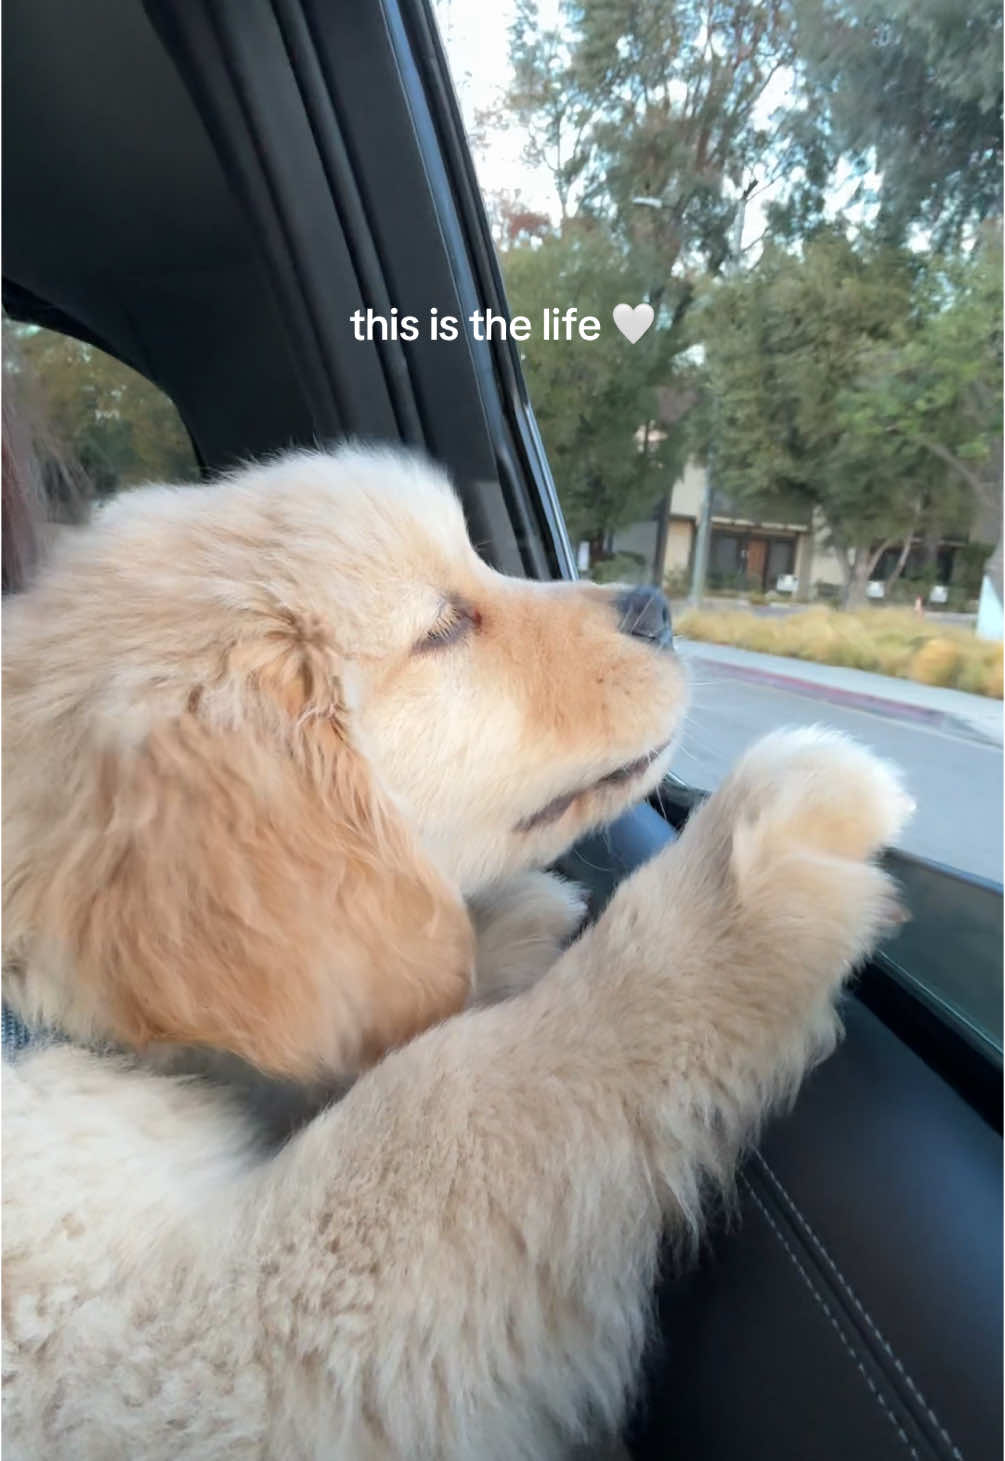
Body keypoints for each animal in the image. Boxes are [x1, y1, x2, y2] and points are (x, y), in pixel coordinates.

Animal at [1, 447, 911, 1461]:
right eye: (442, 628)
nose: (654, 606)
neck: (32, 1005)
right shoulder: (165, 1357)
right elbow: (455, 1101)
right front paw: (746, 869)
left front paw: (505, 928)